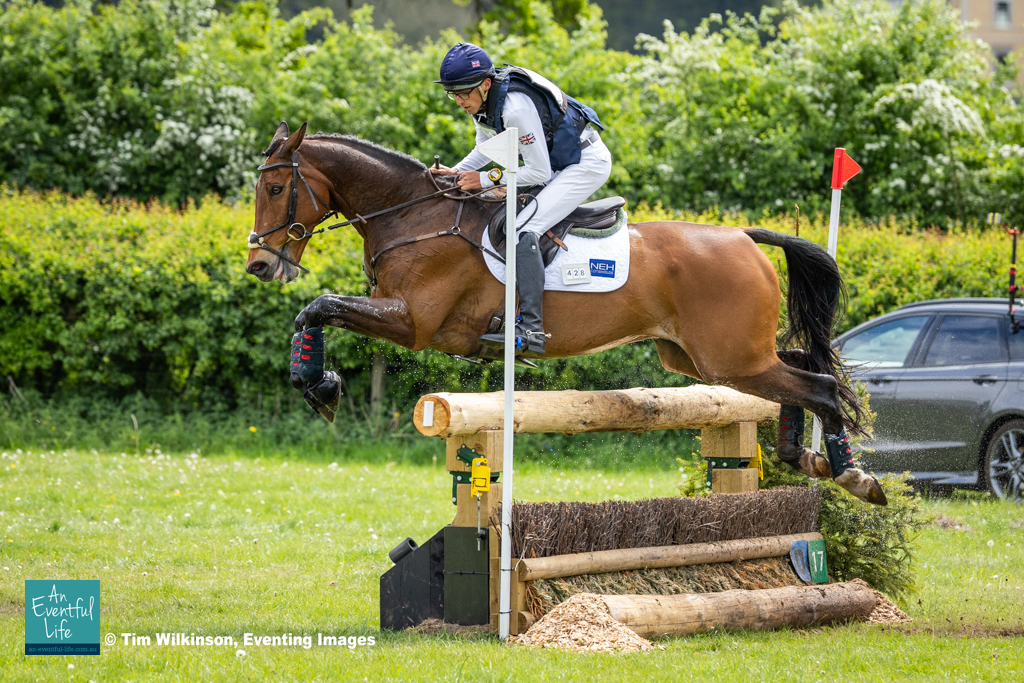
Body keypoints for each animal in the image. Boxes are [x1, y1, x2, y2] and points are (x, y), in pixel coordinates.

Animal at [245, 122, 887, 506]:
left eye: (276, 190)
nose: (259, 265)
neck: (412, 215)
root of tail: (743, 237)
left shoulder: (413, 323)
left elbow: (319, 307)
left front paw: (321, 388)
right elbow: (316, 312)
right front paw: (320, 385)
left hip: (728, 357)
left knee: (822, 385)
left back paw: (853, 475)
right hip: (704, 359)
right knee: (802, 364)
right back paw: (803, 457)